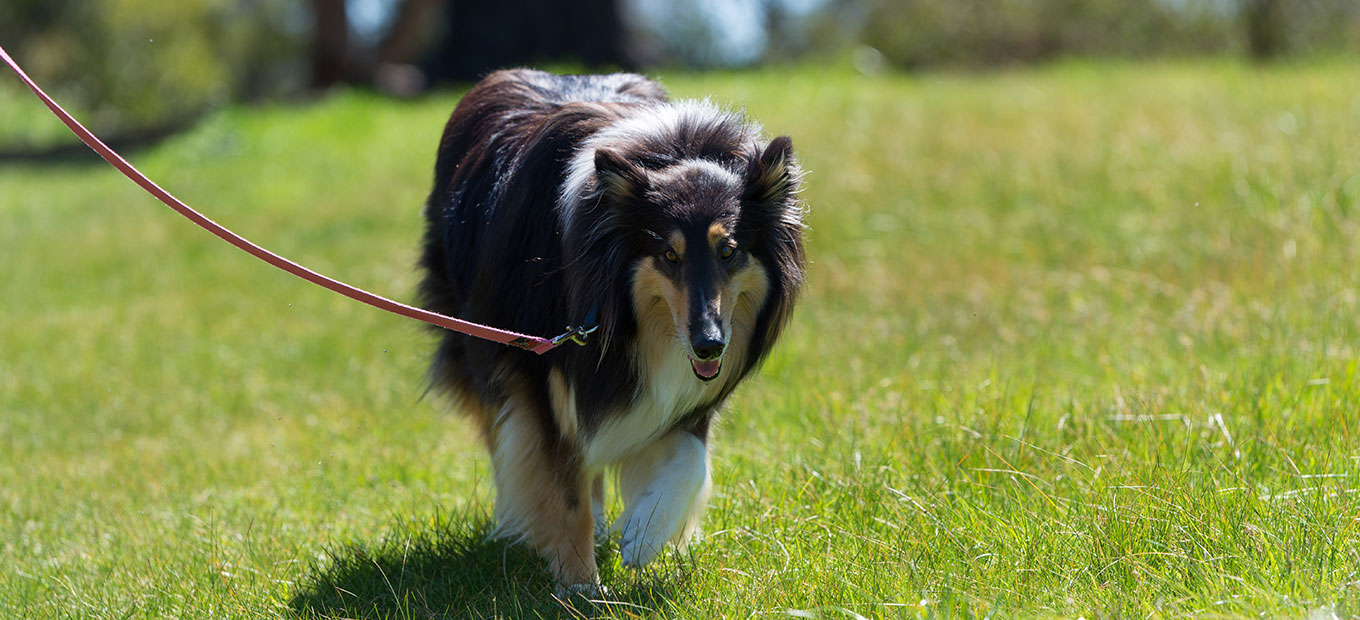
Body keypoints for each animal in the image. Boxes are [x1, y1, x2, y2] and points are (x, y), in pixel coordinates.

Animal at [418, 70, 799, 592]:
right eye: (669, 255)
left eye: (729, 250)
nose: (709, 344)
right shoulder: (543, 381)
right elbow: (563, 488)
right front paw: (581, 586)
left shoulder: (683, 391)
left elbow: (691, 457)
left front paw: (644, 534)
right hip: (477, 335)